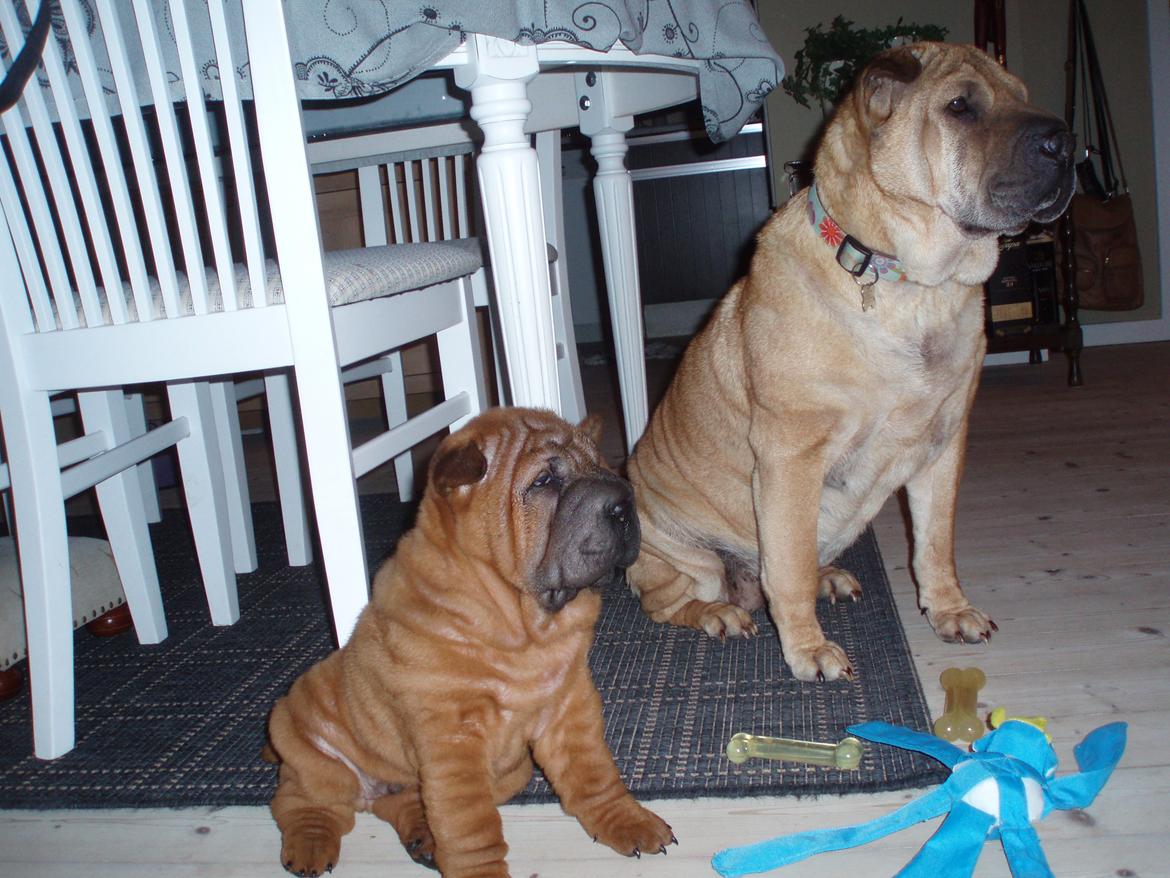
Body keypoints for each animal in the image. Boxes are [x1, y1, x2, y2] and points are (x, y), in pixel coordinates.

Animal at [262, 409, 673, 875]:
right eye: (544, 482)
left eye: (601, 465)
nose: (625, 503)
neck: (524, 626)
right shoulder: (453, 740)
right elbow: (470, 826)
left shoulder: (571, 705)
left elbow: (594, 774)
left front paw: (629, 821)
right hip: (306, 735)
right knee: (301, 801)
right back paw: (311, 845)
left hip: (508, 772)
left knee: (399, 802)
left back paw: (421, 836)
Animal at [627, 43, 1071, 678]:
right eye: (959, 107)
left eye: (1022, 95)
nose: (1065, 142)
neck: (911, 283)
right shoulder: (791, 456)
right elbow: (786, 566)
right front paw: (809, 651)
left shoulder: (944, 445)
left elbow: (935, 543)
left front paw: (949, 611)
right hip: (688, 556)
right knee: (671, 602)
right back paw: (721, 615)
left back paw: (829, 578)